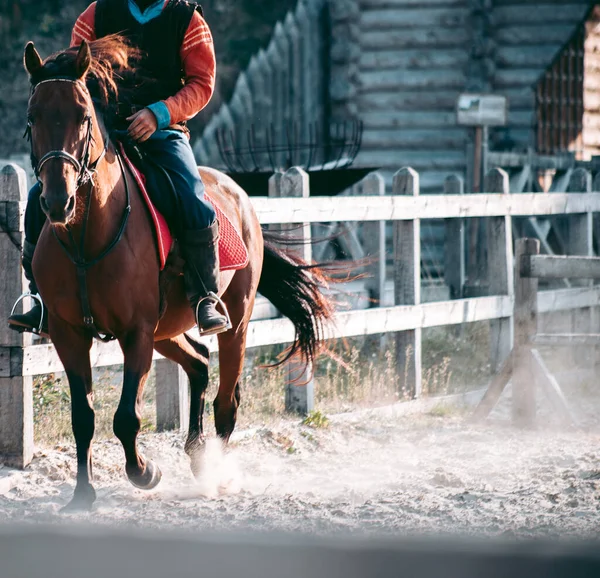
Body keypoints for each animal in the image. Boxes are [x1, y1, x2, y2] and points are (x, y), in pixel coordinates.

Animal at [23, 37, 332, 508]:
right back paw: (197, 455)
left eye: (82, 115)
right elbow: (84, 416)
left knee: (227, 400)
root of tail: (239, 194)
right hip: (166, 330)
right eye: (33, 116)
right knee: (200, 364)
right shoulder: (67, 333)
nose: (58, 200)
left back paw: (215, 474)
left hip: (233, 323)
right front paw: (82, 494)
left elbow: (126, 418)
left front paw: (145, 472)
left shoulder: (135, 332)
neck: (87, 238)